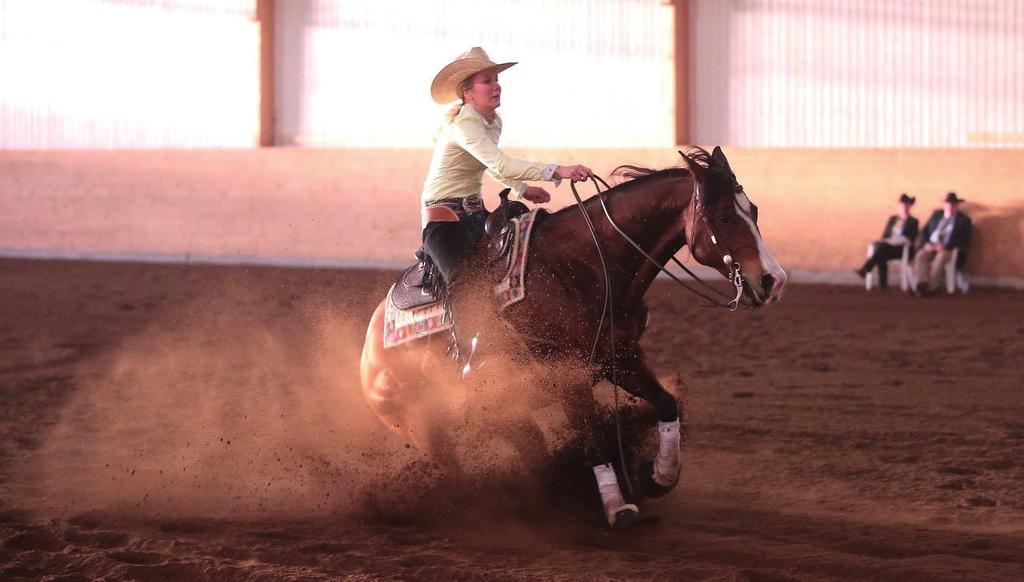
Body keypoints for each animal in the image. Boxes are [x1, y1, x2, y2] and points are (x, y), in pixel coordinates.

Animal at [360, 145, 782, 528]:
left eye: (755, 210)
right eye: (724, 214)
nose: (773, 280)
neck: (584, 265)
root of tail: (368, 353)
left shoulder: (620, 359)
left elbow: (665, 403)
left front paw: (658, 476)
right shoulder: (567, 377)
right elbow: (592, 436)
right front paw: (618, 508)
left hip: (504, 416)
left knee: (532, 448)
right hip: (424, 428)